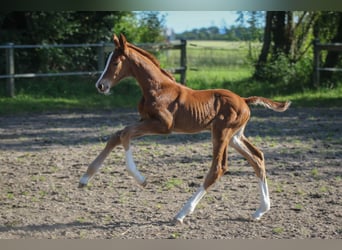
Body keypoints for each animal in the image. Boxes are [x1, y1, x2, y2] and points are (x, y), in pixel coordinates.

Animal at [79, 34, 292, 224]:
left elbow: (125, 134)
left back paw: (182, 213)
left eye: (115, 62)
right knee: (257, 158)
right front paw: (85, 178)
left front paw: (141, 180)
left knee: (218, 168)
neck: (157, 88)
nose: (100, 85)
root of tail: (245, 100)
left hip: (221, 132)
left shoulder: (164, 126)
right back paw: (261, 210)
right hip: (235, 136)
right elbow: (117, 135)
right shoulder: (145, 121)